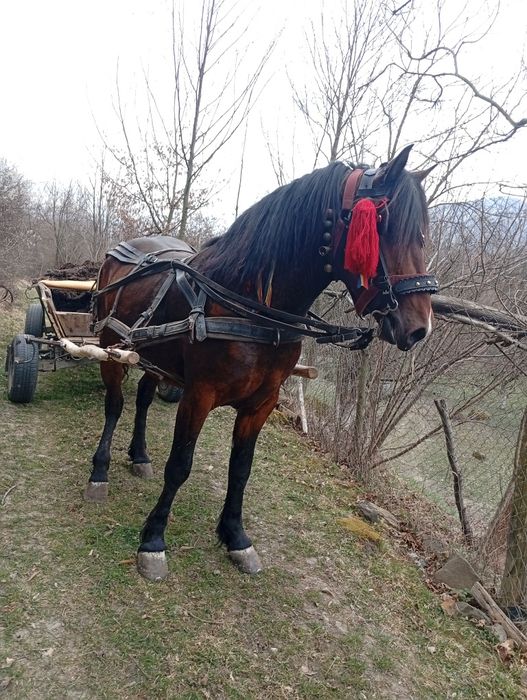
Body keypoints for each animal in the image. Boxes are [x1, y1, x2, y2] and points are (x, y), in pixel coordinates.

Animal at [86, 145, 438, 581]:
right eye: (383, 225)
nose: (419, 327)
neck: (251, 305)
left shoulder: (262, 402)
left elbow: (241, 469)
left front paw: (235, 536)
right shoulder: (198, 395)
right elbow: (180, 465)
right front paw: (153, 540)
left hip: (153, 357)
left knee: (142, 401)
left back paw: (139, 455)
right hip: (111, 347)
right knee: (115, 405)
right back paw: (99, 471)